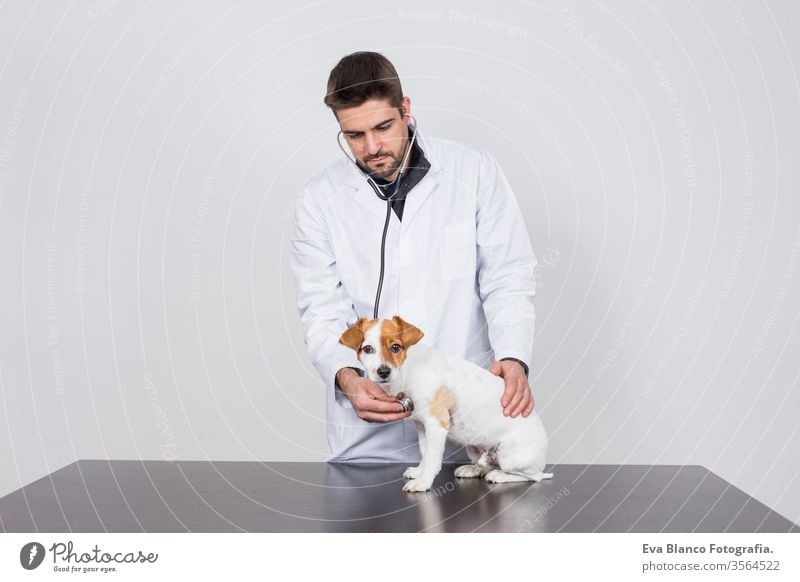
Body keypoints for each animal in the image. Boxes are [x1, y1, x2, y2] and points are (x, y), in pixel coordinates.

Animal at [334, 318, 552, 496]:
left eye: (396, 347)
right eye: (368, 349)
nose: (383, 371)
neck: (408, 370)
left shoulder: (436, 424)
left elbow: (432, 458)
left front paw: (423, 481)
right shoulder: (422, 426)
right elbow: (425, 453)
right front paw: (419, 472)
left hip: (510, 456)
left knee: (533, 476)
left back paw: (500, 475)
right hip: (475, 448)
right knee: (487, 465)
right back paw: (474, 469)